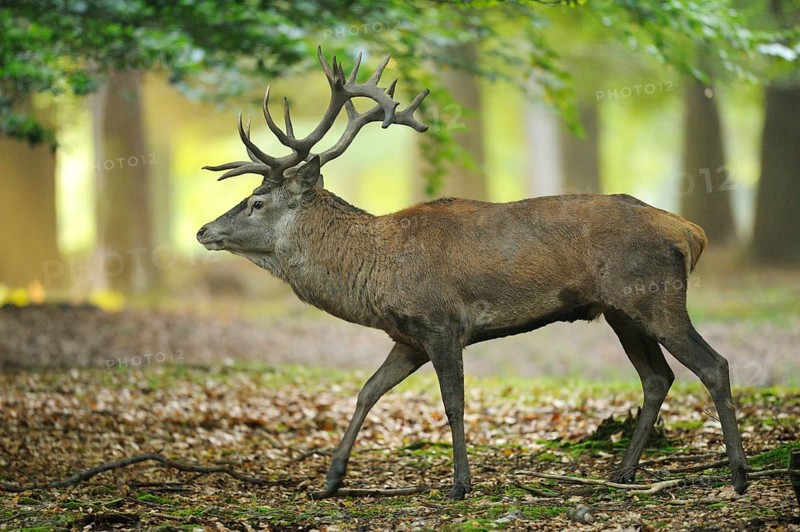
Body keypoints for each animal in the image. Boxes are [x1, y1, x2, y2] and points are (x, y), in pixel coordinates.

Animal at [196, 46, 750, 500]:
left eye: (256, 202)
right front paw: (330, 480)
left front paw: (461, 484)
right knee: (657, 377)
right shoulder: (408, 337)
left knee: (714, 365)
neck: (375, 272)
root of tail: (690, 232)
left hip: (654, 297)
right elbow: (367, 390)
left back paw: (739, 476)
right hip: (621, 312)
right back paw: (623, 473)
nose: (203, 230)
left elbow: (453, 403)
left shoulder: (441, 324)